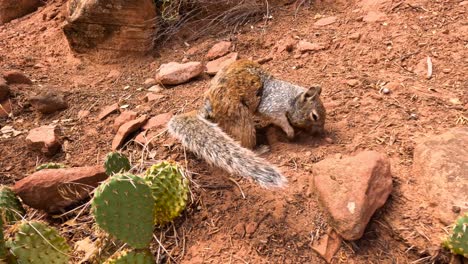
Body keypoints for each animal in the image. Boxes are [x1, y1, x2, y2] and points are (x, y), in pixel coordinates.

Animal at [168, 59, 326, 188]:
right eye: (314, 116)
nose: (320, 133)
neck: (290, 98)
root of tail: (208, 106)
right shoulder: (273, 106)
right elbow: (280, 119)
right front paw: (290, 132)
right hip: (241, 118)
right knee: (245, 141)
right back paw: (259, 149)